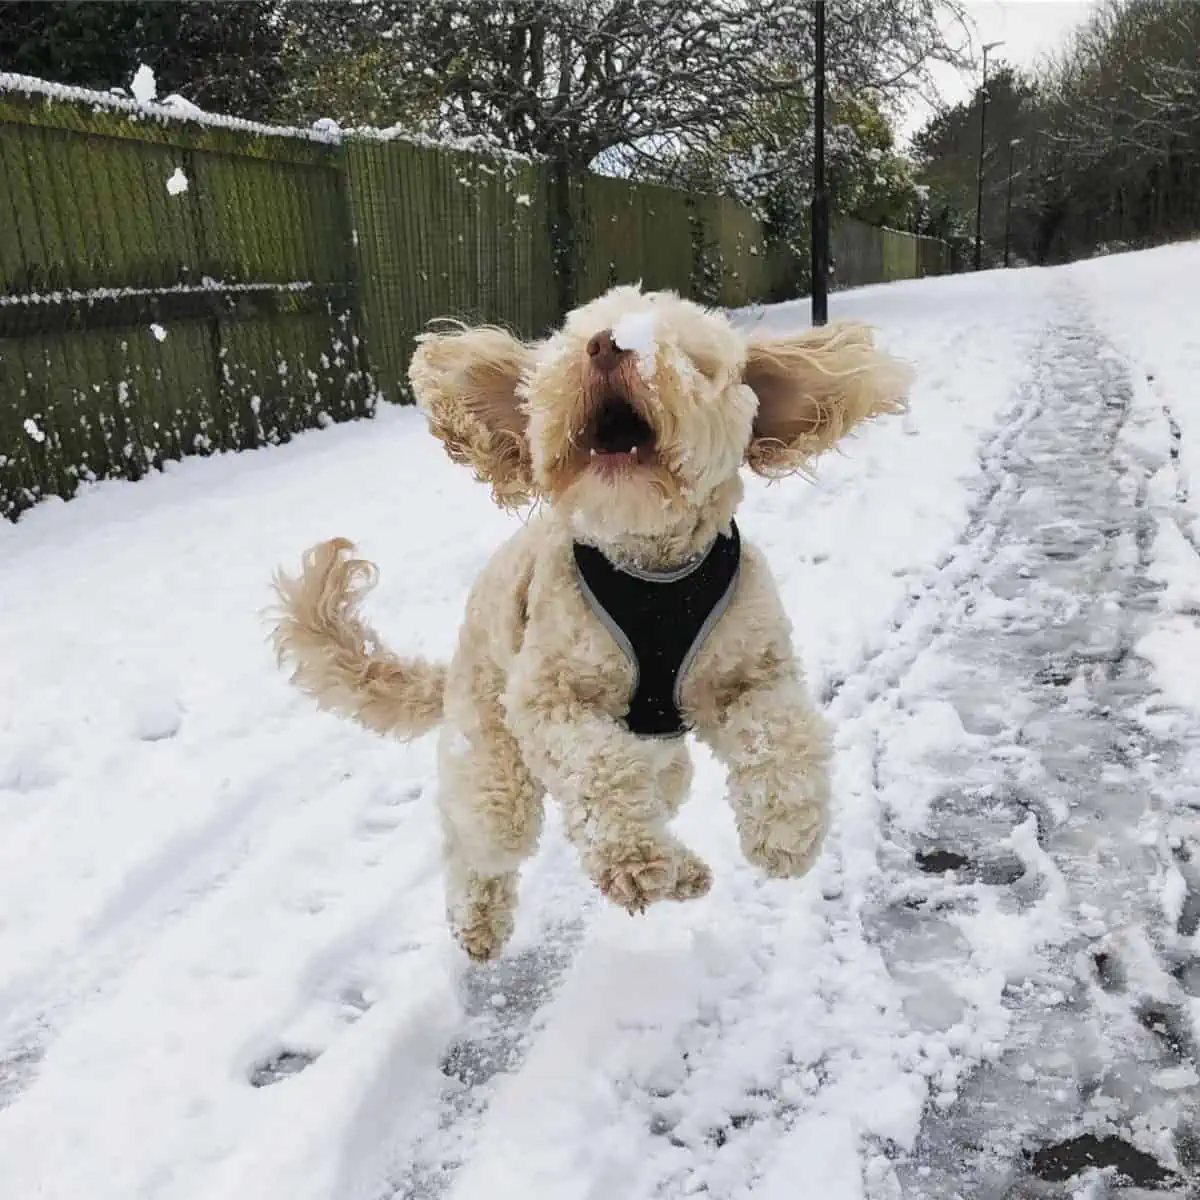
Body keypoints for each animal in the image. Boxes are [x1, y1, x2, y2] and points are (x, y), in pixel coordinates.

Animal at [272, 285, 907, 960]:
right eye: (579, 343)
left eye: (694, 360)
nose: (609, 345)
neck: (654, 576)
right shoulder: (552, 697)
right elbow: (598, 772)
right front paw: (635, 858)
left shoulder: (750, 669)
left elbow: (781, 738)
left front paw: (785, 833)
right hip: (494, 763)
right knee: (478, 840)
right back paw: (481, 918)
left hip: (661, 754)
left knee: (659, 787)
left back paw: (683, 870)